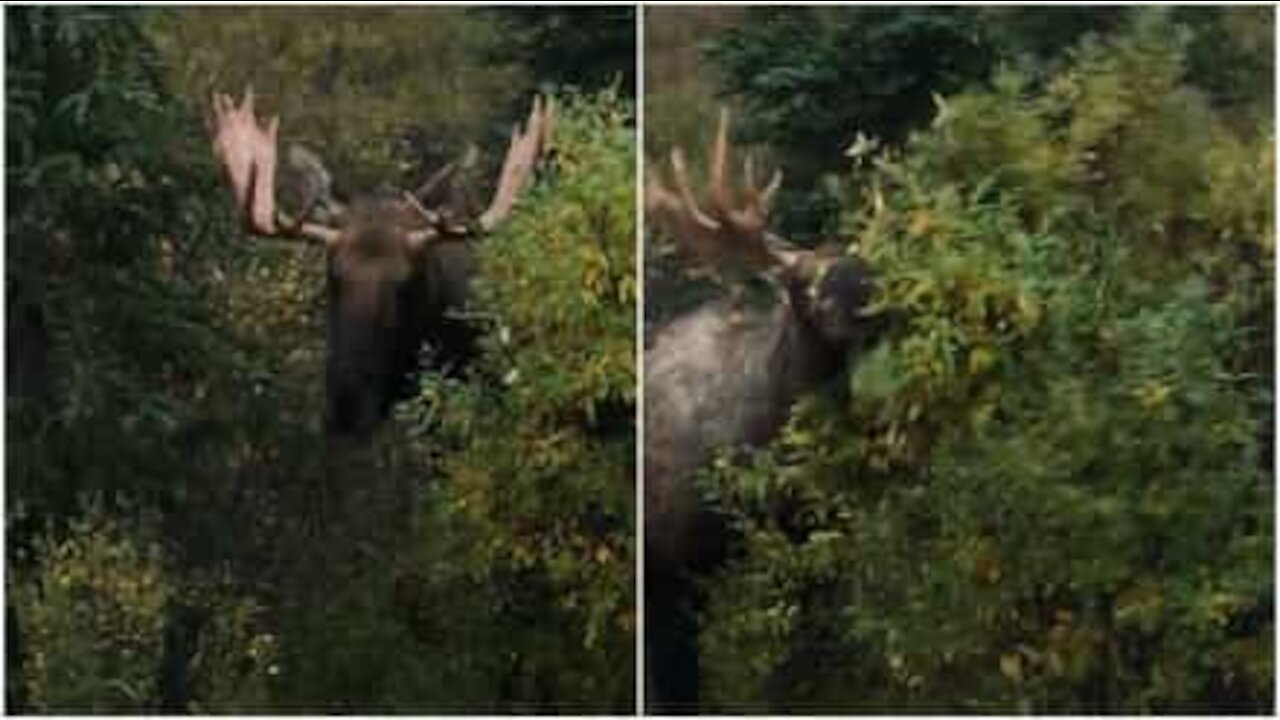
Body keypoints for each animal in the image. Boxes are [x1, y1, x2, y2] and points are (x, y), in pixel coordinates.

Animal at [645, 110, 875, 707]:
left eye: (861, 265)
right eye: (799, 283)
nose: (865, 298)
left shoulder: (816, 535)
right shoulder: (669, 568)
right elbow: (678, 683)